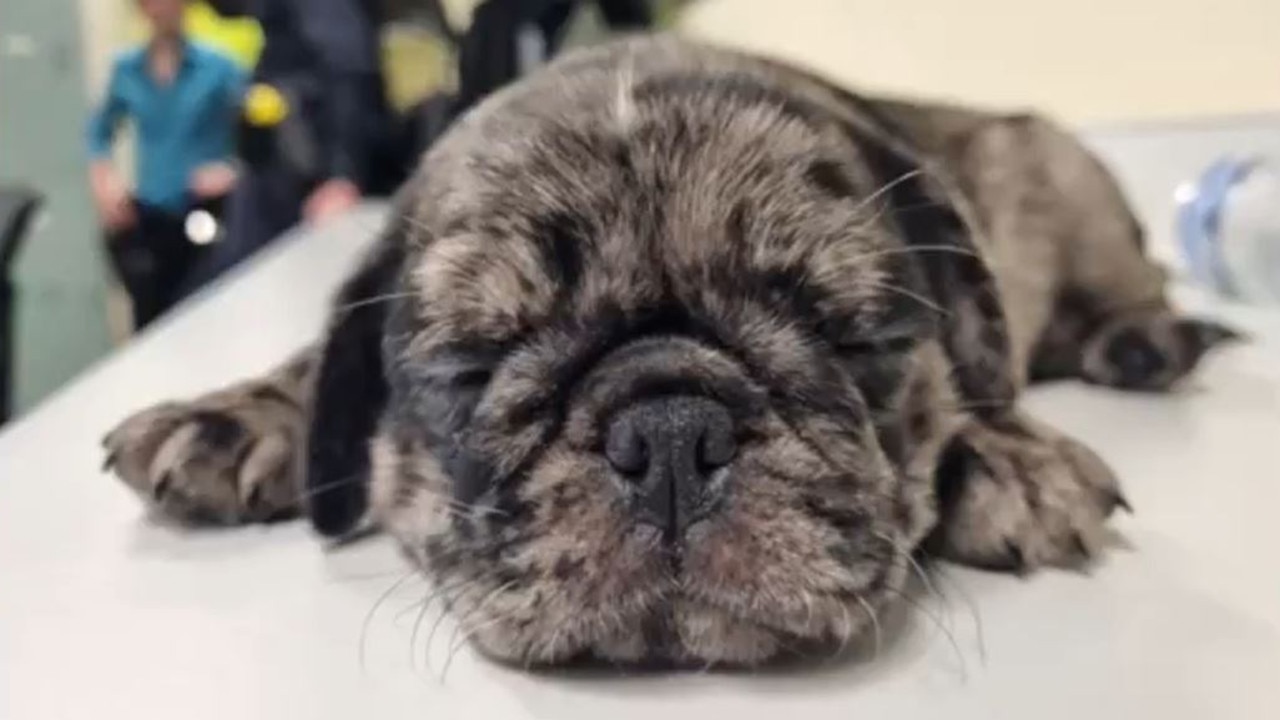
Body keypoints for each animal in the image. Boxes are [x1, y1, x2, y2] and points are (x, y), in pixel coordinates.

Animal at [102, 36, 1239, 666]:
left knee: (1125, 284)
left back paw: (1146, 338)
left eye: (855, 338)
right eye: (469, 369)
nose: (670, 433)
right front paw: (240, 411)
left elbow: (975, 377)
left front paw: (1003, 447)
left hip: (1066, 179)